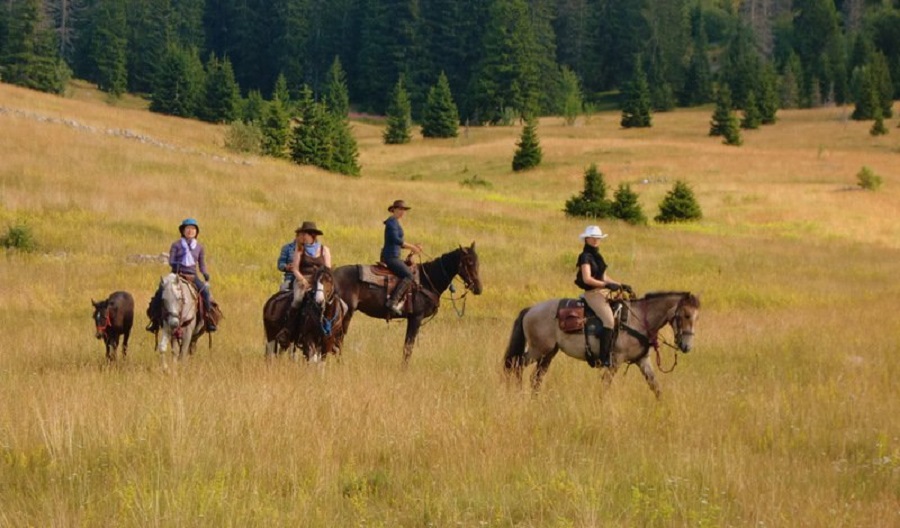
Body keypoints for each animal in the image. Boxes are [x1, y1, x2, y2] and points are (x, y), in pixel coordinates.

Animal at [332, 244, 486, 364]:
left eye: (478, 262)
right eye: (469, 262)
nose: (478, 288)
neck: (427, 279)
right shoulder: (416, 318)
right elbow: (408, 347)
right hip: (346, 315)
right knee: (338, 340)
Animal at [502, 290, 700, 398]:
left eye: (697, 318)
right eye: (686, 315)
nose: (687, 346)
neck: (639, 321)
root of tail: (530, 309)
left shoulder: (643, 361)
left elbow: (656, 387)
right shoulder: (615, 361)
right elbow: (605, 386)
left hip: (548, 354)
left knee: (535, 377)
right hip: (538, 350)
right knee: (515, 364)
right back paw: (516, 393)